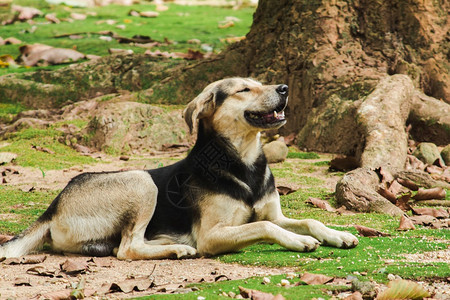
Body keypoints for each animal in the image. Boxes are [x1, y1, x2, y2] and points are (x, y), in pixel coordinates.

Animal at [0, 77, 358, 260]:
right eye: (244, 89)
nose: (284, 88)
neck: (242, 161)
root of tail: (52, 207)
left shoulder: (275, 213)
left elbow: (307, 219)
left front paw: (338, 235)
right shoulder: (212, 236)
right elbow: (265, 227)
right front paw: (299, 241)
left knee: (123, 245)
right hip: (141, 181)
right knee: (127, 249)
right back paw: (178, 249)